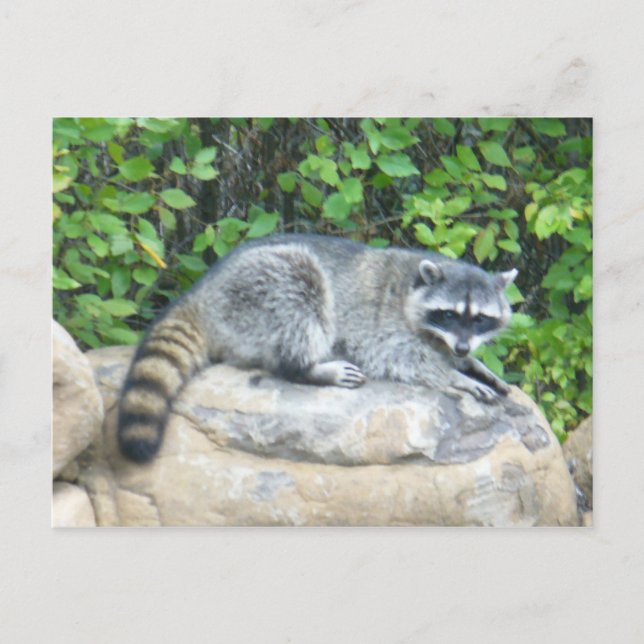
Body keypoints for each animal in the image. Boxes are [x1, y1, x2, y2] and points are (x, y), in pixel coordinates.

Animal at [118, 234, 517, 463]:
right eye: (449, 314)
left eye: (480, 319)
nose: (462, 349)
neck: (413, 286)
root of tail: (203, 292)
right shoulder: (378, 326)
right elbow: (399, 357)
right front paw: (453, 376)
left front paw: (474, 366)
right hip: (257, 292)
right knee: (300, 290)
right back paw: (307, 367)